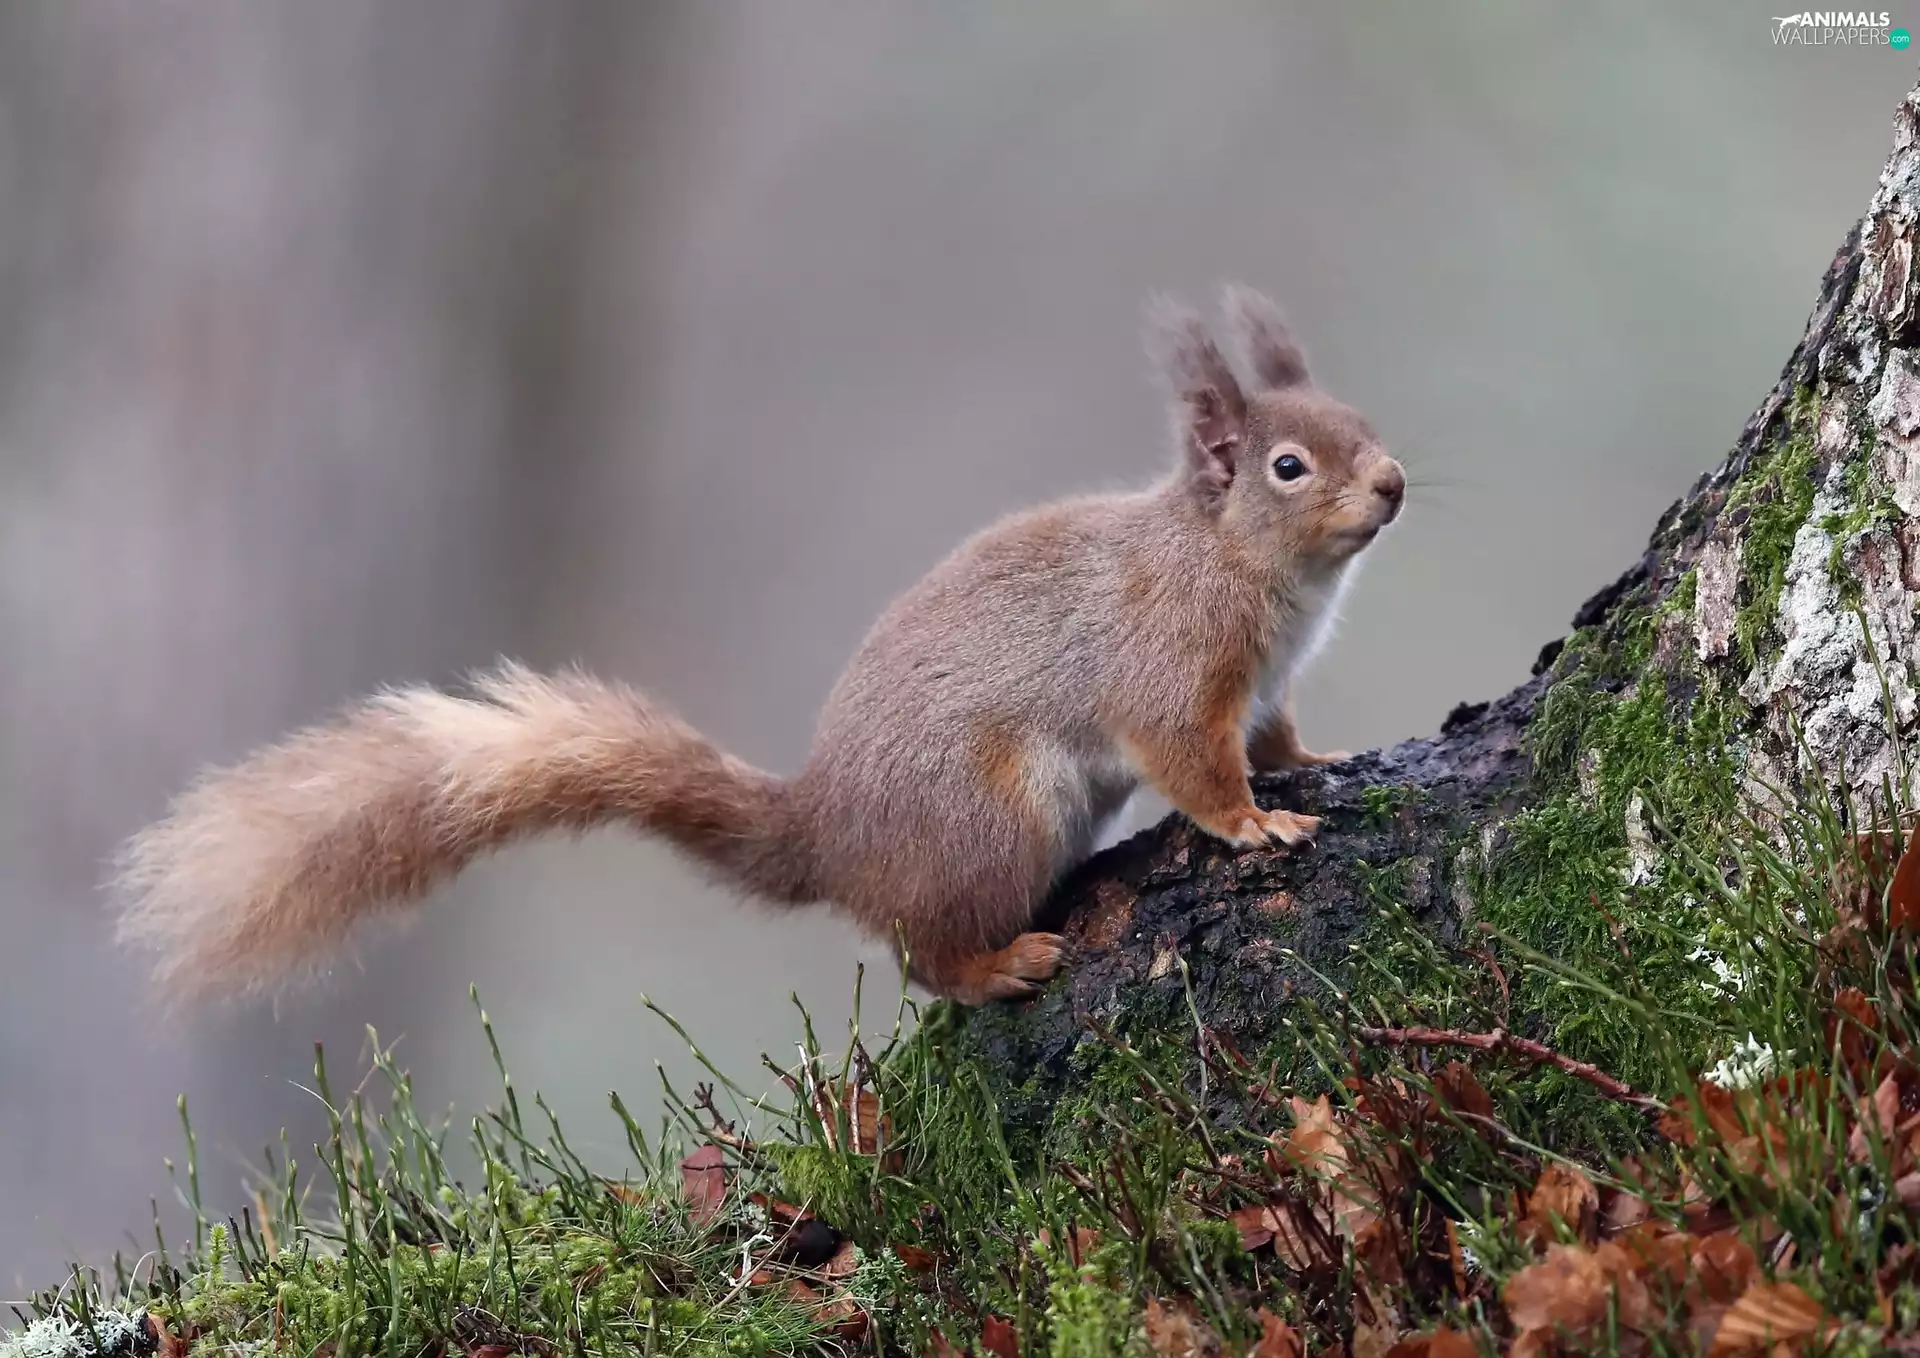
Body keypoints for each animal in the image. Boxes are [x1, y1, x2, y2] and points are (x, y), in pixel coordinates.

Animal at [113, 286, 1405, 1007]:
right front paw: (1255, 824)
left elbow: (1273, 734)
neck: (1244, 566)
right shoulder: (1168, 669)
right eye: (1289, 465)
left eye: (1364, 421)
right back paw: (998, 966)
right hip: (989, 821)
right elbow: (1193, 759)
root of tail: (827, 835)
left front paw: (1317, 764)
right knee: (924, 955)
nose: (1393, 482)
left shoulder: (1261, 687)